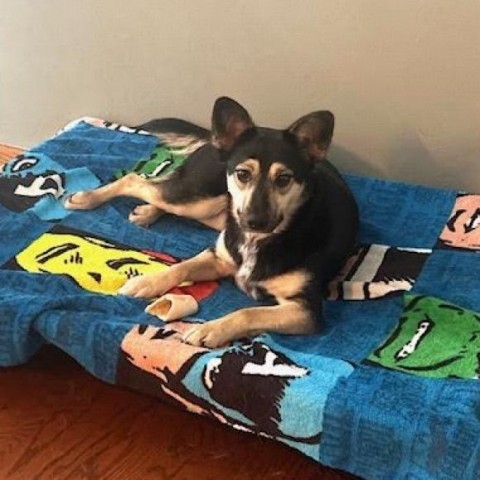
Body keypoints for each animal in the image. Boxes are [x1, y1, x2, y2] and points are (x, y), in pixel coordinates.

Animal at [65, 96, 358, 344]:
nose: (254, 221)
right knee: (137, 180)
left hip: (212, 211)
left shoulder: (304, 310)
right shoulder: (219, 257)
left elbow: (248, 312)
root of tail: (214, 140)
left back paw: (146, 212)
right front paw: (147, 282)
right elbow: (181, 267)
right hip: (200, 197)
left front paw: (211, 329)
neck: (262, 239)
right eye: (243, 174)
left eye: (284, 179)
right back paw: (87, 198)